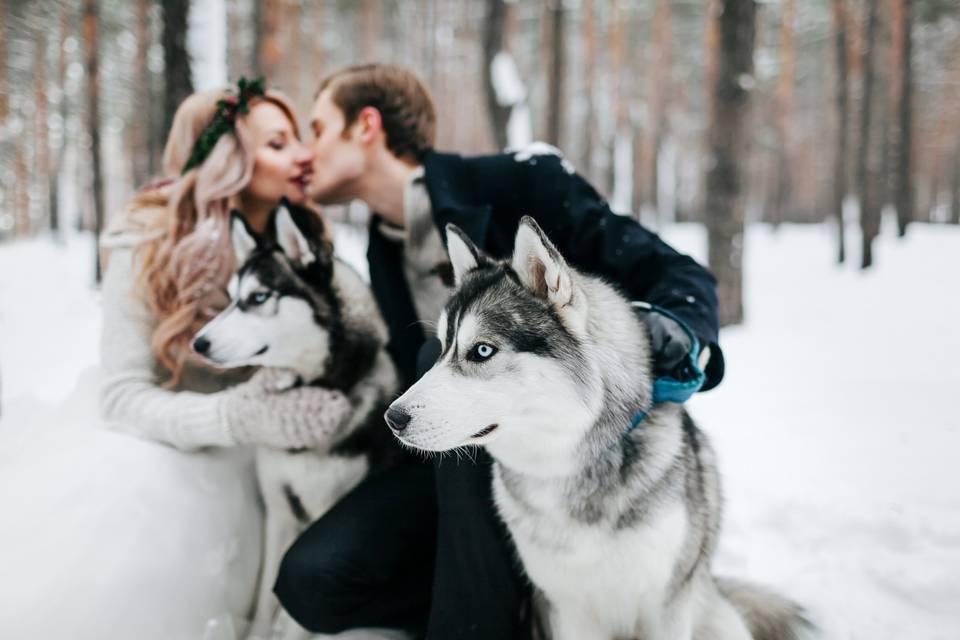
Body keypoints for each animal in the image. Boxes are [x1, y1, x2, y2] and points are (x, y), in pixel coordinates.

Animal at [193, 205, 400, 640]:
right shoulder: (279, 511)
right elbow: (263, 599)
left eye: (258, 297)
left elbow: (292, 618)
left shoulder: (322, 508)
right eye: (231, 298)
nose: (198, 343)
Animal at [386, 219, 812, 640]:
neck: (564, 466)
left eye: (482, 350)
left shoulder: (666, 606)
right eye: (442, 346)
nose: (393, 417)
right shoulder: (566, 608)